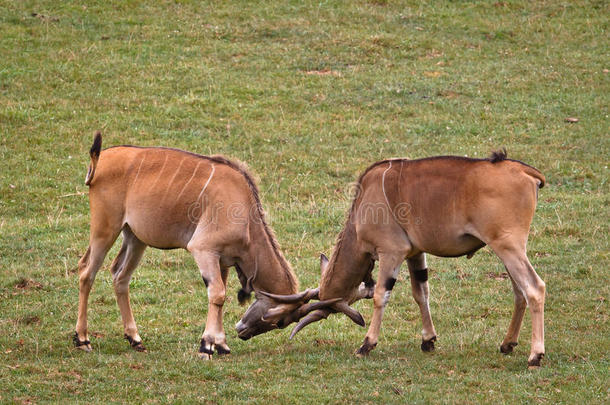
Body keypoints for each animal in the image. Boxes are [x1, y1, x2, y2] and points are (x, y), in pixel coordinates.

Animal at [76, 133, 330, 356]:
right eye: (280, 321)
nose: (243, 332)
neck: (246, 213)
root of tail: (100, 160)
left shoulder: (223, 260)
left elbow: (221, 295)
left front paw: (221, 345)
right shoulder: (203, 249)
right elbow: (217, 295)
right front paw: (207, 346)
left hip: (135, 237)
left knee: (120, 276)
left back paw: (135, 339)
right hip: (105, 228)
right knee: (86, 272)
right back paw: (82, 340)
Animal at [258, 152, 544, 366]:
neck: (363, 202)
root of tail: (527, 172)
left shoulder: (390, 252)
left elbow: (380, 295)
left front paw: (366, 344)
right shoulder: (415, 254)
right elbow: (421, 292)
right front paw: (428, 340)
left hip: (508, 247)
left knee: (534, 288)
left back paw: (535, 356)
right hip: (507, 250)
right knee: (519, 293)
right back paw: (507, 344)